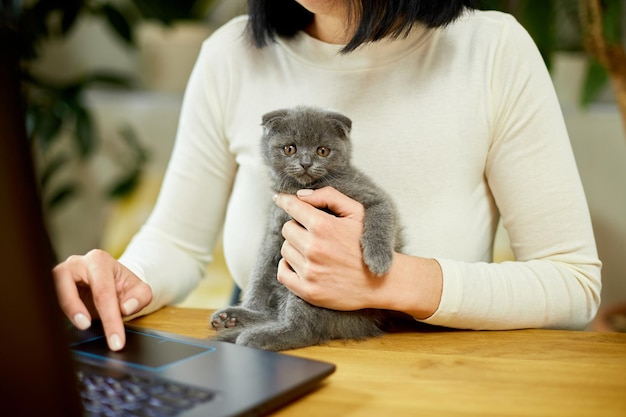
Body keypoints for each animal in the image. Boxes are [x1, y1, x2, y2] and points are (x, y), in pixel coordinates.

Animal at [211, 105, 404, 350]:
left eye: (322, 151)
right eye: (290, 148)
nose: (305, 163)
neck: (302, 189)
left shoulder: (372, 195)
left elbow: (382, 213)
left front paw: (378, 260)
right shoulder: (275, 232)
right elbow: (259, 276)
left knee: (305, 329)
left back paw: (255, 335)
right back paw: (235, 318)